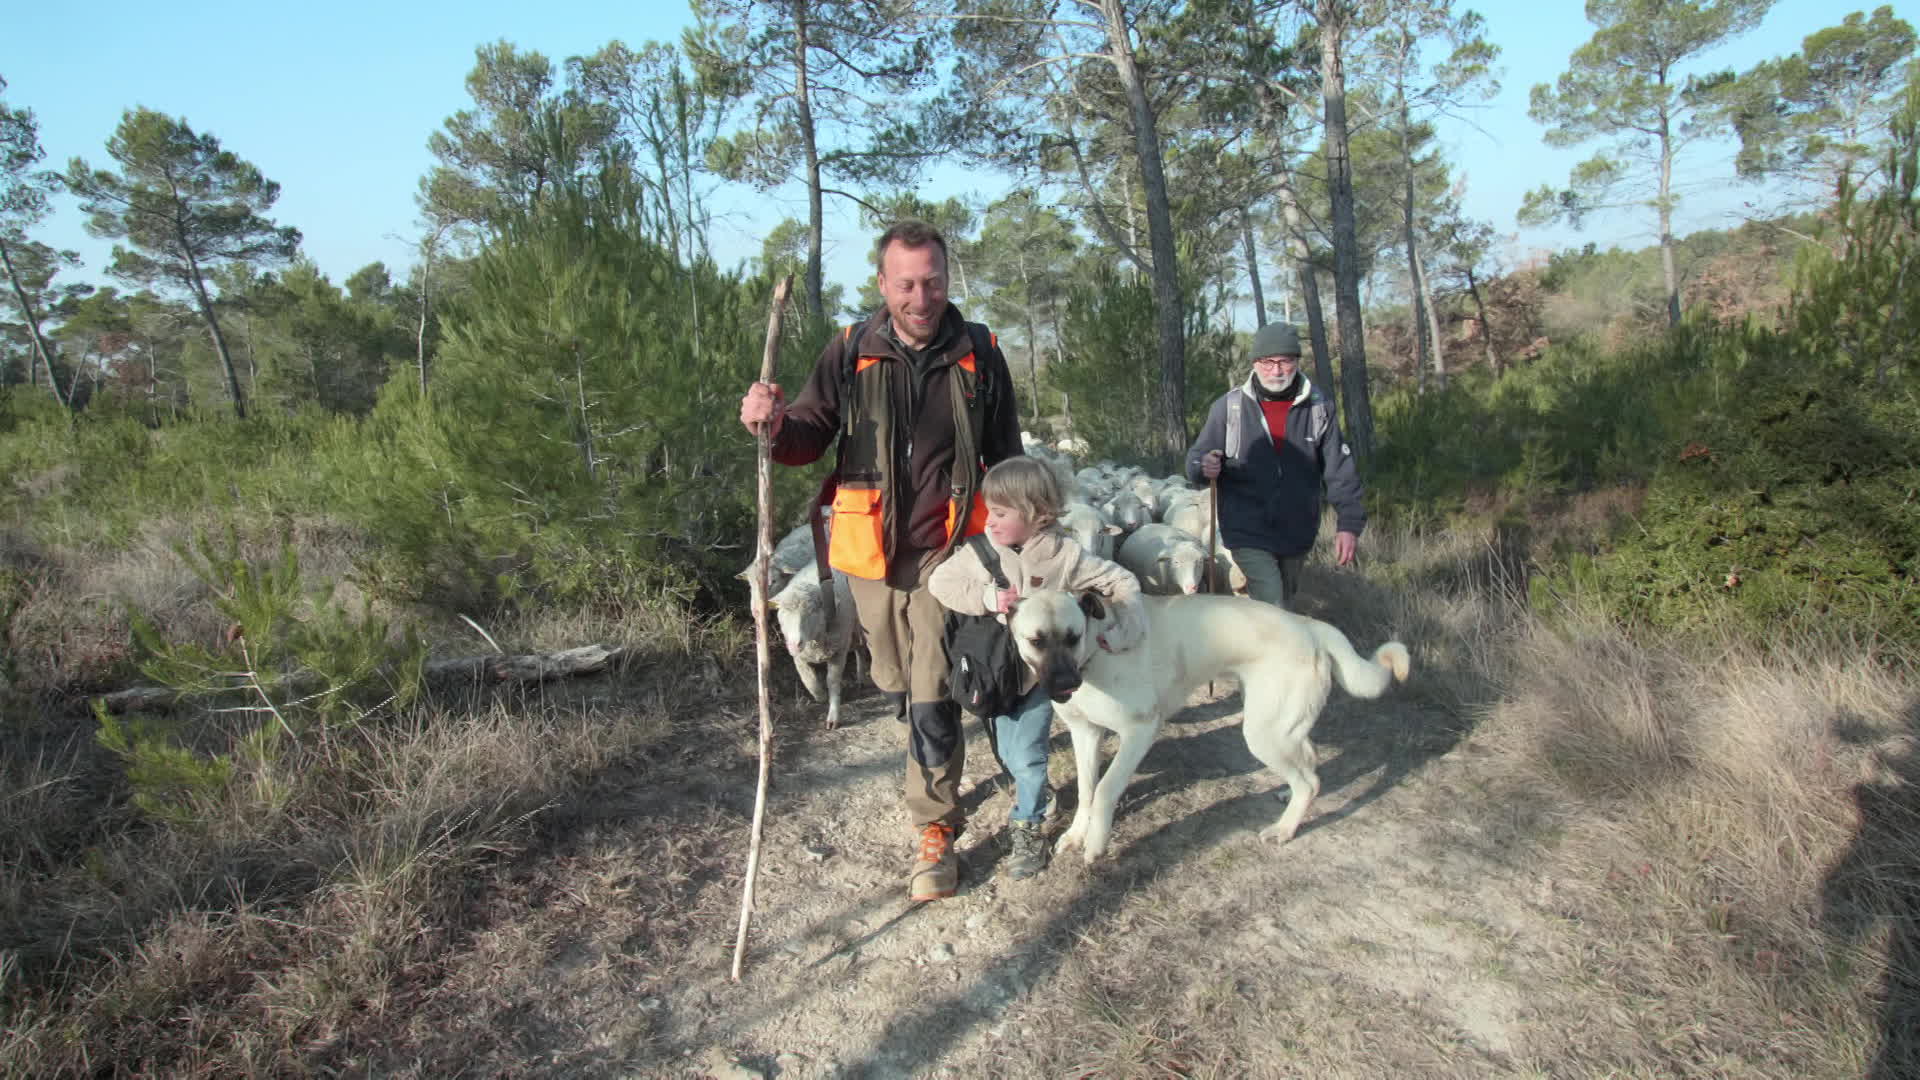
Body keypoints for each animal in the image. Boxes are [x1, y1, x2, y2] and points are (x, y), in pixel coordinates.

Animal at [768, 564, 860, 730]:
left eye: (811, 611)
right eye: (783, 611)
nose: (794, 643)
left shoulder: (839, 650)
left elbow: (832, 681)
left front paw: (833, 716)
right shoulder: (799, 657)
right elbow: (808, 680)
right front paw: (821, 696)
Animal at [1006, 588, 1413, 857]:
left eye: (1073, 637)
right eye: (1036, 641)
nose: (1065, 685)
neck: (1094, 654)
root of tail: (1310, 625)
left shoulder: (1139, 732)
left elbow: (1105, 789)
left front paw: (1095, 843)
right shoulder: (1085, 734)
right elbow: (1087, 790)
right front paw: (1078, 834)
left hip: (1263, 733)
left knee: (1309, 780)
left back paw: (1284, 829)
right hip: (1280, 726)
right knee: (1309, 763)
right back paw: (1288, 796)